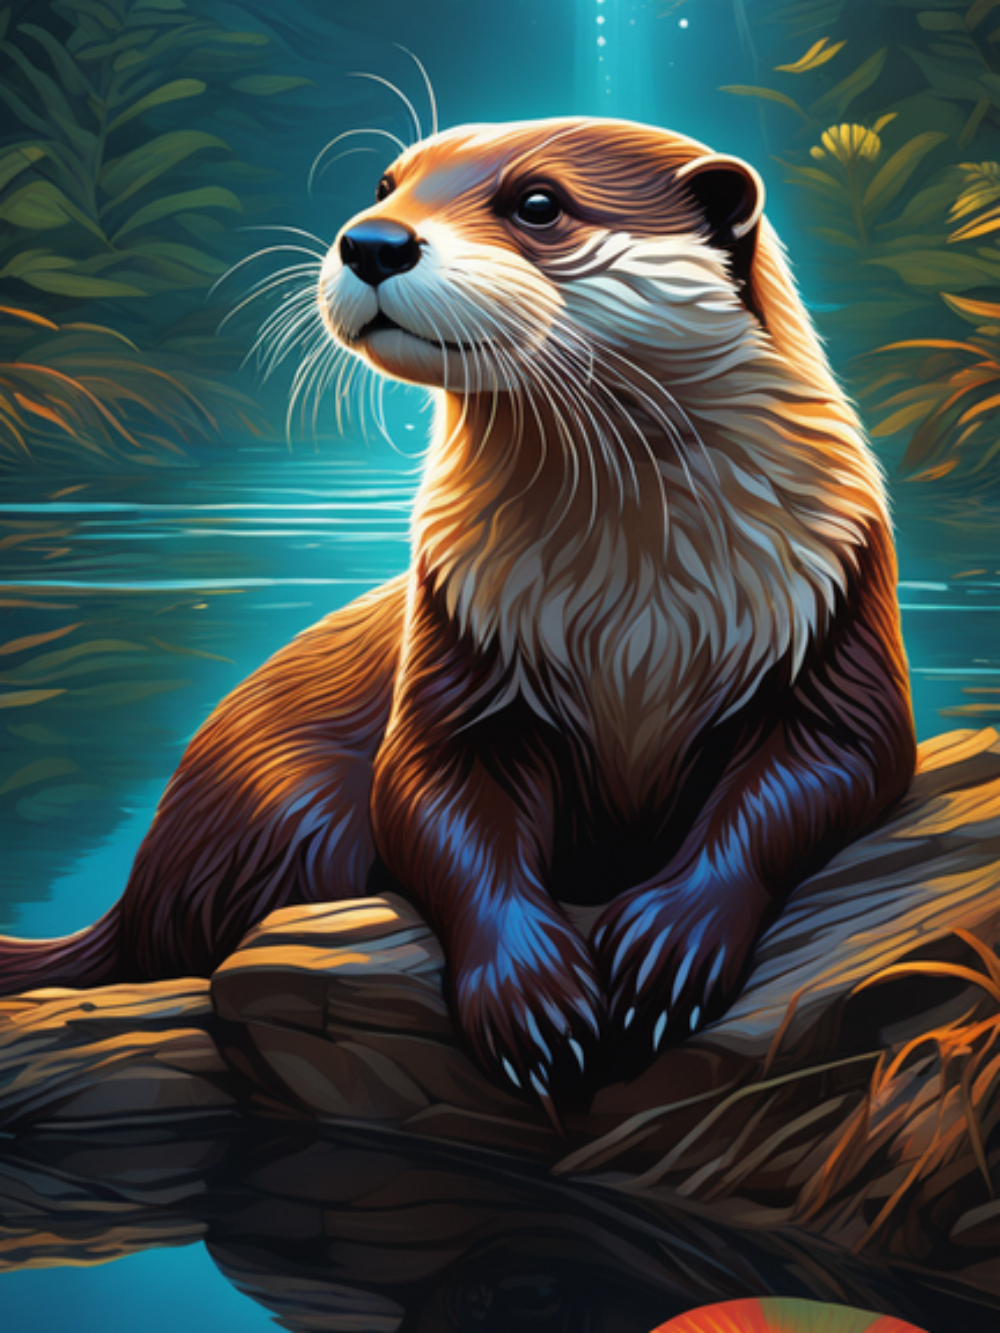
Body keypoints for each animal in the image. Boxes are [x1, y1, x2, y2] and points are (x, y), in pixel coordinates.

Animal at [0, 118, 916, 1108]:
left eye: (539, 203)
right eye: (385, 183)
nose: (371, 241)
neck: (638, 617)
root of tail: (137, 885)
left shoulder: (840, 597)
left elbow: (826, 769)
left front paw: (670, 940)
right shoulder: (458, 637)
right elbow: (429, 797)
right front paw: (532, 998)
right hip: (286, 804)